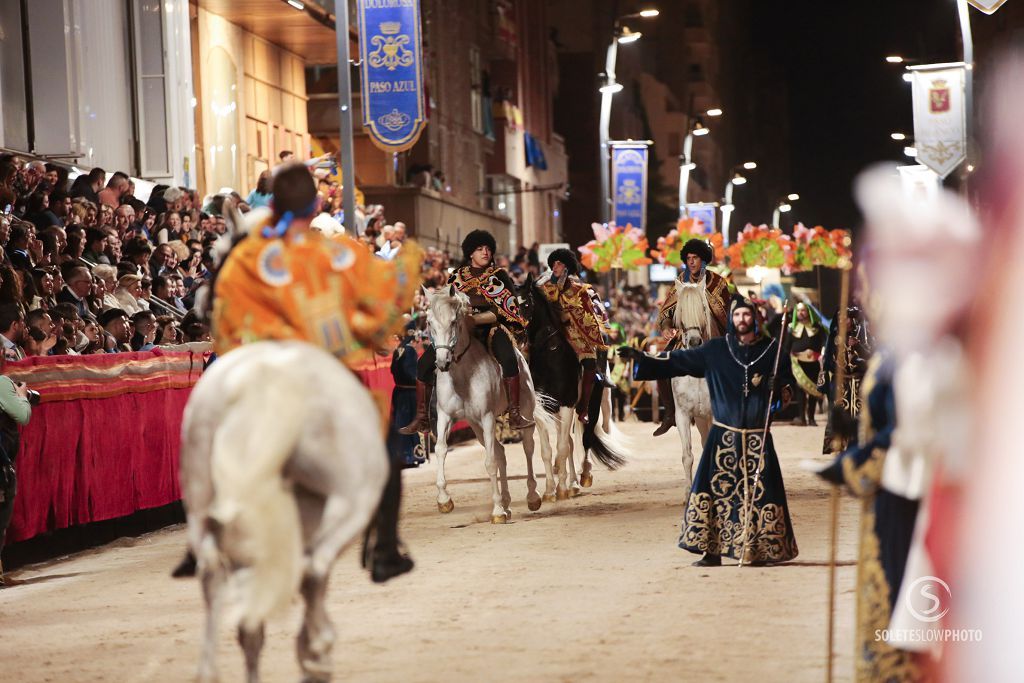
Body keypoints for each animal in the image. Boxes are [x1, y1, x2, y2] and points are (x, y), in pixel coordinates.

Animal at [180, 342, 387, 683]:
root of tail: (255, 379)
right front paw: (314, 654)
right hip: (351, 501)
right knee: (312, 570)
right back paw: (317, 652)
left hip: (202, 508)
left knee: (217, 580)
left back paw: (211, 672)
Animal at [423, 284, 552, 524]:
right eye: (429, 323)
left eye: (454, 322)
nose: (442, 362)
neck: (463, 375)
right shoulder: (446, 415)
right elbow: (441, 449)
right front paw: (444, 500)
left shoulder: (488, 417)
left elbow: (490, 462)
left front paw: (497, 511)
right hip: (476, 426)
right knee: (501, 452)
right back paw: (507, 502)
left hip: (524, 410)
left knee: (528, 447)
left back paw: (532, 496)